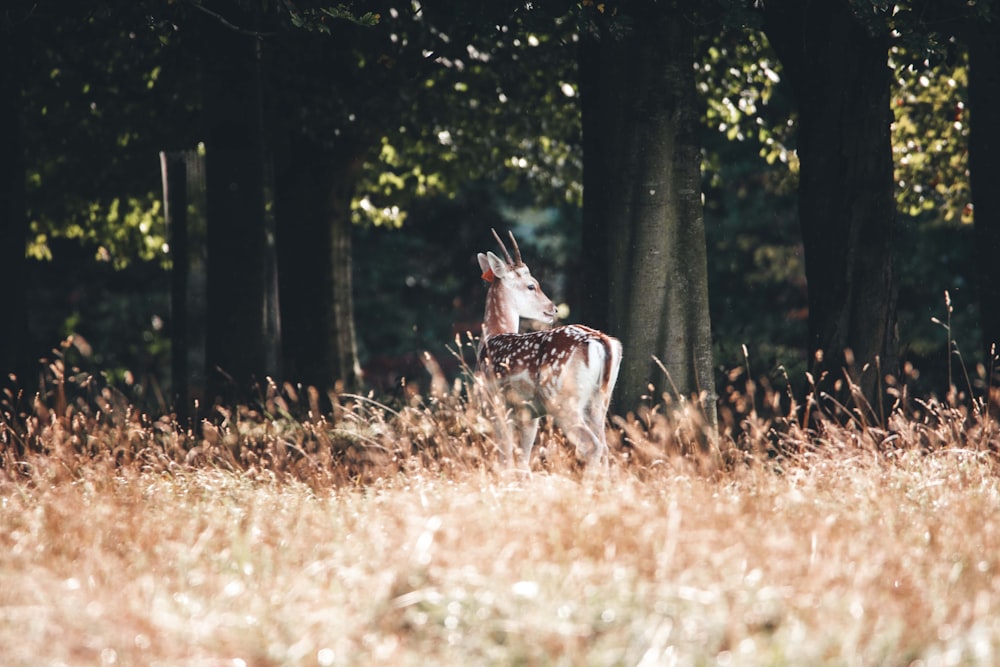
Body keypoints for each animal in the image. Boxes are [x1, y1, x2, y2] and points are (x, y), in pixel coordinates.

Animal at [474, 232, 620, 472]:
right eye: (531, 286)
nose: (554, 308)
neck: (491, 337)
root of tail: (602, 342)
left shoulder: (495, 402)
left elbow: (506, 454)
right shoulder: (528, 412)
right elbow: (523, 458)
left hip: (562, 400)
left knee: (593, 445)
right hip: (600, 400)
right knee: (606, 446)